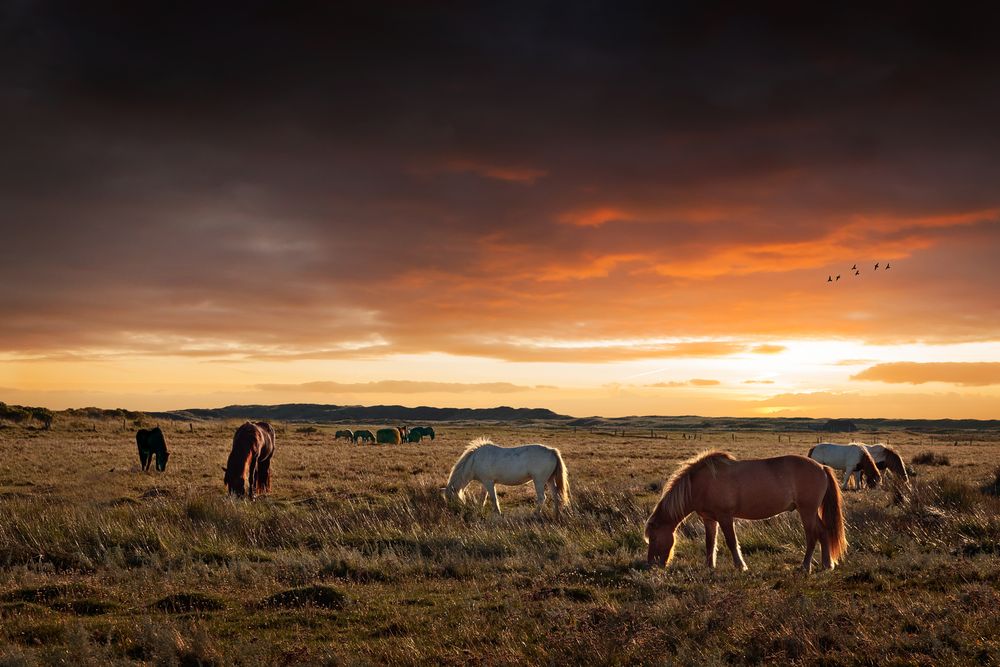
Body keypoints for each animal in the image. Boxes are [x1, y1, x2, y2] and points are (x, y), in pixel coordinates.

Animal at [444, 438, 572, 516]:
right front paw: (479, 511)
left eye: (451, 498)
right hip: (549, 480)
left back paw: (536, 514)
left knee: (542, 498)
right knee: (556, 495)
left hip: (539, 481)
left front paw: (498, 513)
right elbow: (482, 499)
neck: (474, 460)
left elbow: (493, 498)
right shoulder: (485, 483)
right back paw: (556, 513)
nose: (453, 512)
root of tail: (552, 451)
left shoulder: (489, 482)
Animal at [644, 454, 848, 576]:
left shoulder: (725, 517)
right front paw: (709, 567)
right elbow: (710, 543)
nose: (651, 566)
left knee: (812, 536)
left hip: (807, 511)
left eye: (653, 538)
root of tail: (821, 467)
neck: (701, 483)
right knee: (824, 532)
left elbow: (731, 542)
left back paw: (805, 567)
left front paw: (740, 566)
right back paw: (827, 564)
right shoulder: (709, 519)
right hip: (811, 512)